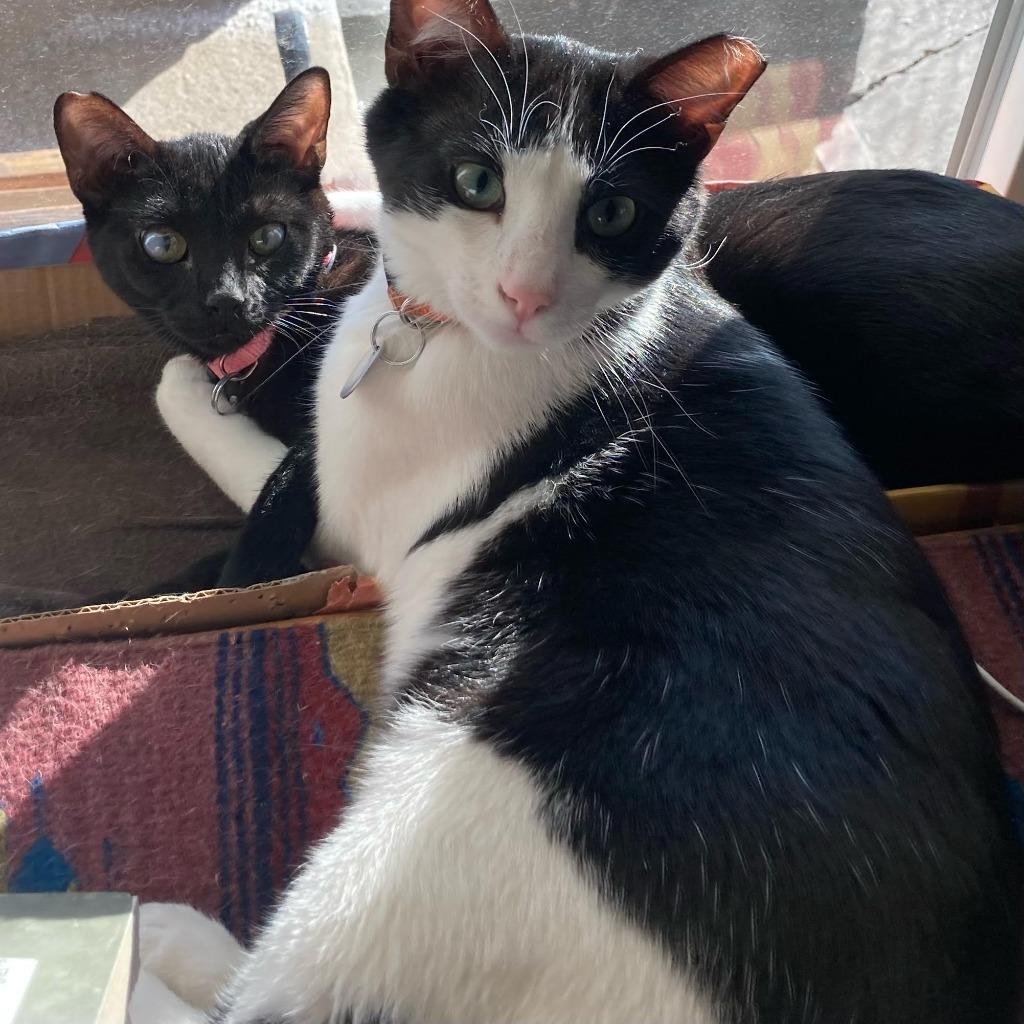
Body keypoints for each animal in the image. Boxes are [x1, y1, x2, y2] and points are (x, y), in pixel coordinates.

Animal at [132, 2, 1019, 1024]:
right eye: (476, 182)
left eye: (612, 213)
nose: (524, 294)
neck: (438, 339)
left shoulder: (347, 517)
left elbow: (269, 467)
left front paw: (185, 387)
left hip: (422, 839)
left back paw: (150, 933)